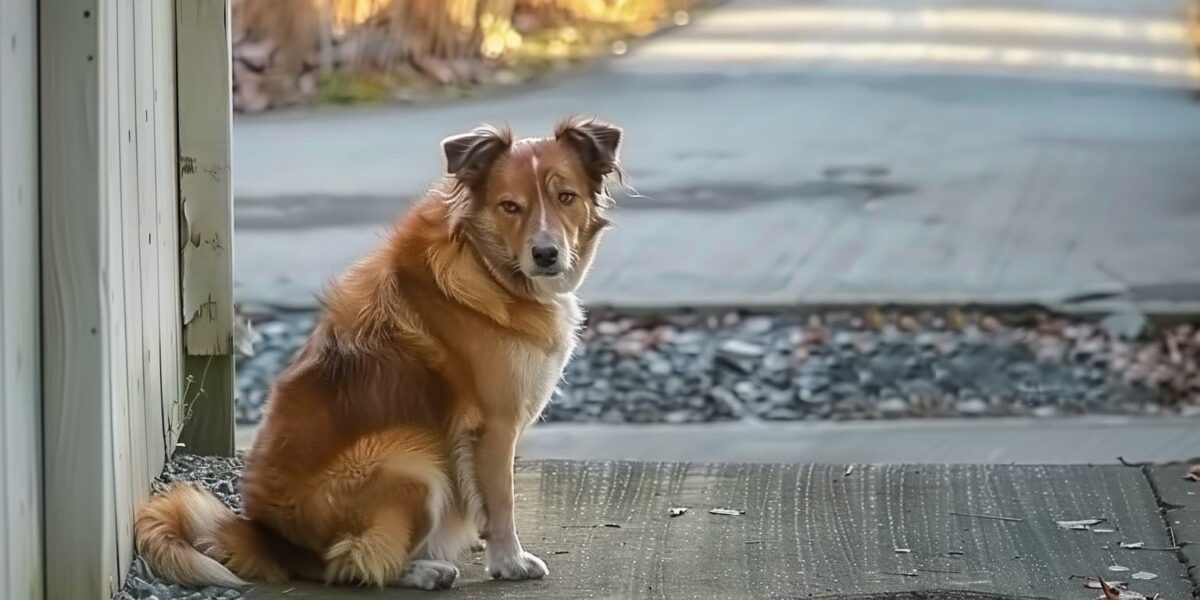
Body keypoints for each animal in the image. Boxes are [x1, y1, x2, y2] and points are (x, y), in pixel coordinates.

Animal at [135, 117, 624, 590]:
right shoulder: (495, 426)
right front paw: (510, 562)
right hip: (411, 461)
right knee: (351, 562)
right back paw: (425, 570)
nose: (546, 254)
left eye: (566, 197)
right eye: (510, 206)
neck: (484, 265)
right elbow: (501, 503)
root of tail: (269, 539)